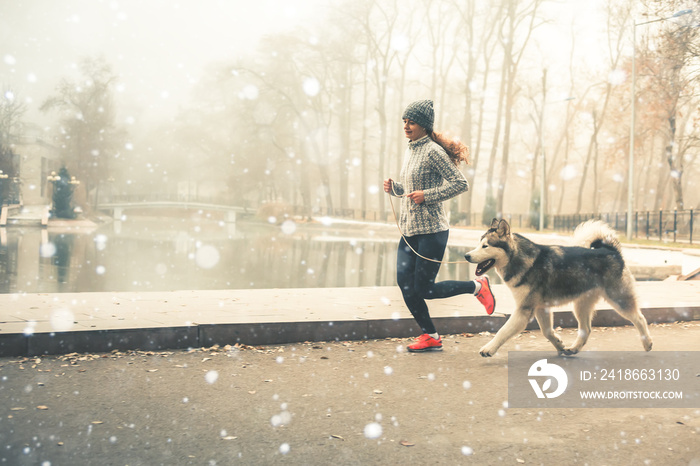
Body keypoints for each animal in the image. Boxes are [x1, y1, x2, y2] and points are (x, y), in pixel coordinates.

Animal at [462, 218, 652, 356]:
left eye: (485, 246)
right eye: (478, 244)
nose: (466, 255)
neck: (520, 259)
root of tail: (611, 251)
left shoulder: (524, 310)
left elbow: (503, 330)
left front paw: (489, 348)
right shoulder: (541, 308)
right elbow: (547, 332)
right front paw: (559, 345)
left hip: (618, 299)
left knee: (640, 318)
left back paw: (647, 343)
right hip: (581, 305)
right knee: (586, 330)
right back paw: (573, 348)